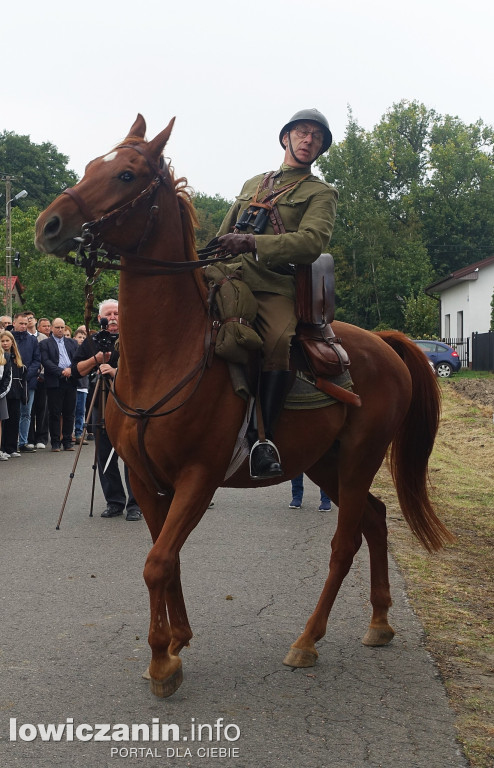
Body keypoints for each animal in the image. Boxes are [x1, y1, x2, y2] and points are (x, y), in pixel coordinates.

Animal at [34, 117, 452, 700]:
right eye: (92, 165)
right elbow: (165, 558)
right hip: (323, 462)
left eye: (125, 174)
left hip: (360, 457)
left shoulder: (199, 476)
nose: (48, 225)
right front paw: (177, 640)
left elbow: (157, 562)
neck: (167, 355)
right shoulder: (145, 478)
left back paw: (307, 641)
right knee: (374, 518)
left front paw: (162, 662)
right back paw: (380, 621)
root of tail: (385, 344)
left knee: (345, 541)